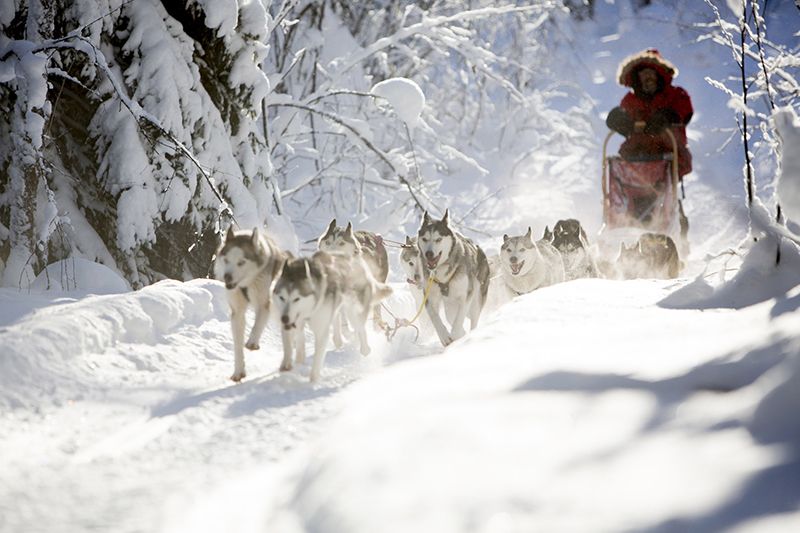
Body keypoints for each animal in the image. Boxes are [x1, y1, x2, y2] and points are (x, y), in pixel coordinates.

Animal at [214, 227, 286, 380]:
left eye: (241, 262)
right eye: (226, 260)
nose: (227, 277)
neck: (246, 284)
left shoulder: (264, 303)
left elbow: (258, 324)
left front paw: (252, 342)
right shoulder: (237, 312)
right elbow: (237, 344)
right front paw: (238, 371)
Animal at [272, 250, 390, 380]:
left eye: (296, 299)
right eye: (282, 297)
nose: (284, 318)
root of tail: (358, 259)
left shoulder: (320, 328)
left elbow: (318, 356)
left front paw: (314, 379)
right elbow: (290, 344)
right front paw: (288, 363)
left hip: (353, 311)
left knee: (360, 328)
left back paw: (364, 348)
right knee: (337, 321)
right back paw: (337, 340)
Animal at [416, 210, 490, 348]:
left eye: (438, 239)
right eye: (425, 239)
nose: (429, 253)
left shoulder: (466, 294)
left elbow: (459, 319)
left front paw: (456, 335)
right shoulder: (429, 296)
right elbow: (434, 317)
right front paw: (444, 336)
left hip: (476, 299)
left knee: (472, 319)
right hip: (450, 304)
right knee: (451, 316)